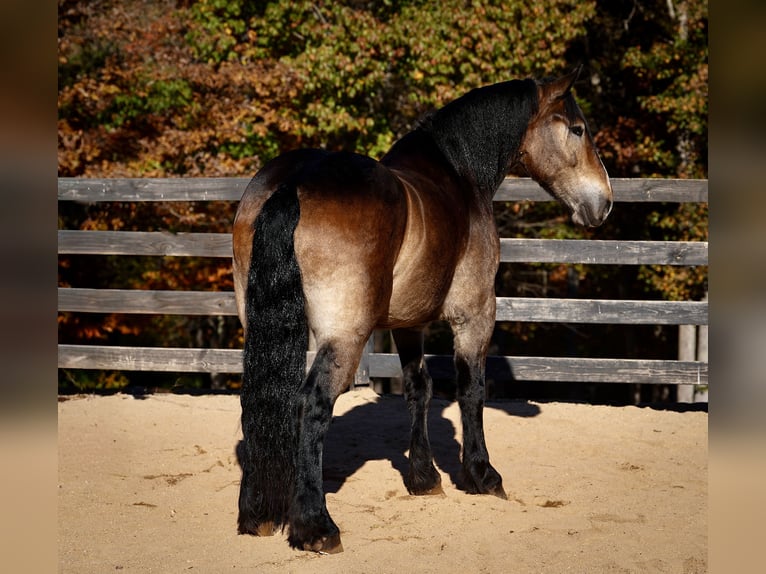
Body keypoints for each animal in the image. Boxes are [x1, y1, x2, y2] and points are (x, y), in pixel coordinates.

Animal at [231, 68, 612, 554]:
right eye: (578, 129)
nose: (604, 202)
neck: (457, 175)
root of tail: (295, 182)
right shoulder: (475, 314)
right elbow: (471, 390)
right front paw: (482, 475)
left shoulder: (408, 323)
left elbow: (419, 388)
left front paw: (424, 477)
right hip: (344, 335)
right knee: (312, 404)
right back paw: (316, 526)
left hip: (261, 327)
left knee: (258, 399)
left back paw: (258, 515)